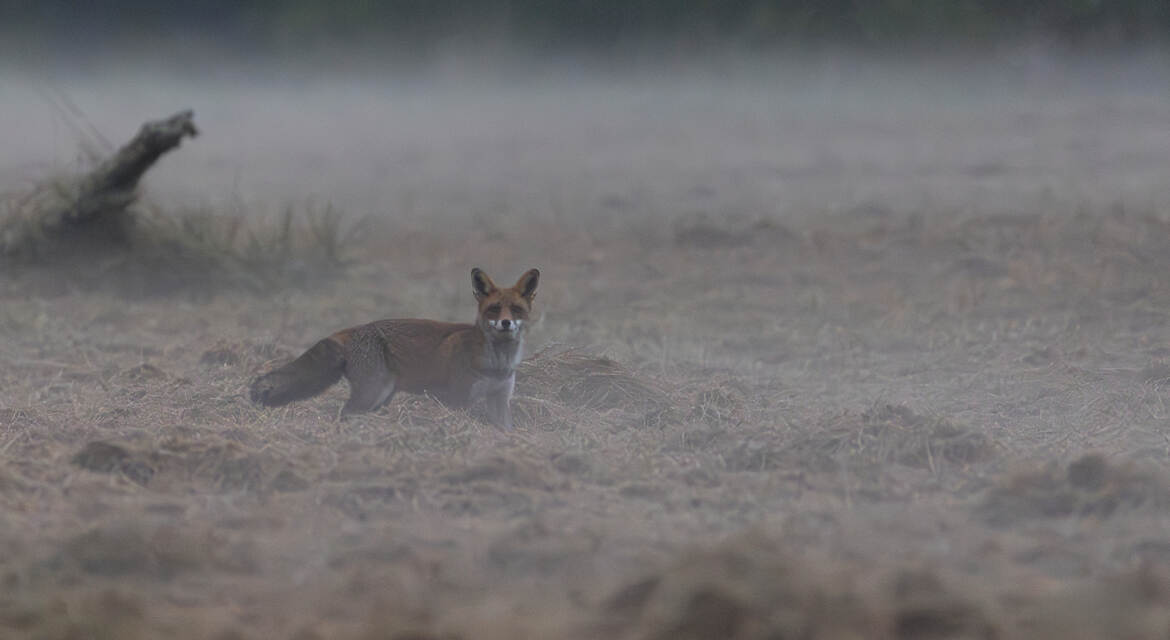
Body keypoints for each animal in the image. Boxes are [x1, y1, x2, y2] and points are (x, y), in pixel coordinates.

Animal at [250, 266, 538, 430]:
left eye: (515, 309)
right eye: (494, 309)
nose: (505, 323)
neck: (498, 363)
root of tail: (353, 329)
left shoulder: (500, 400)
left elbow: (506, 430)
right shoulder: (457, 399)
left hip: (382, 396)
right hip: (372, 393)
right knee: (344, 413)